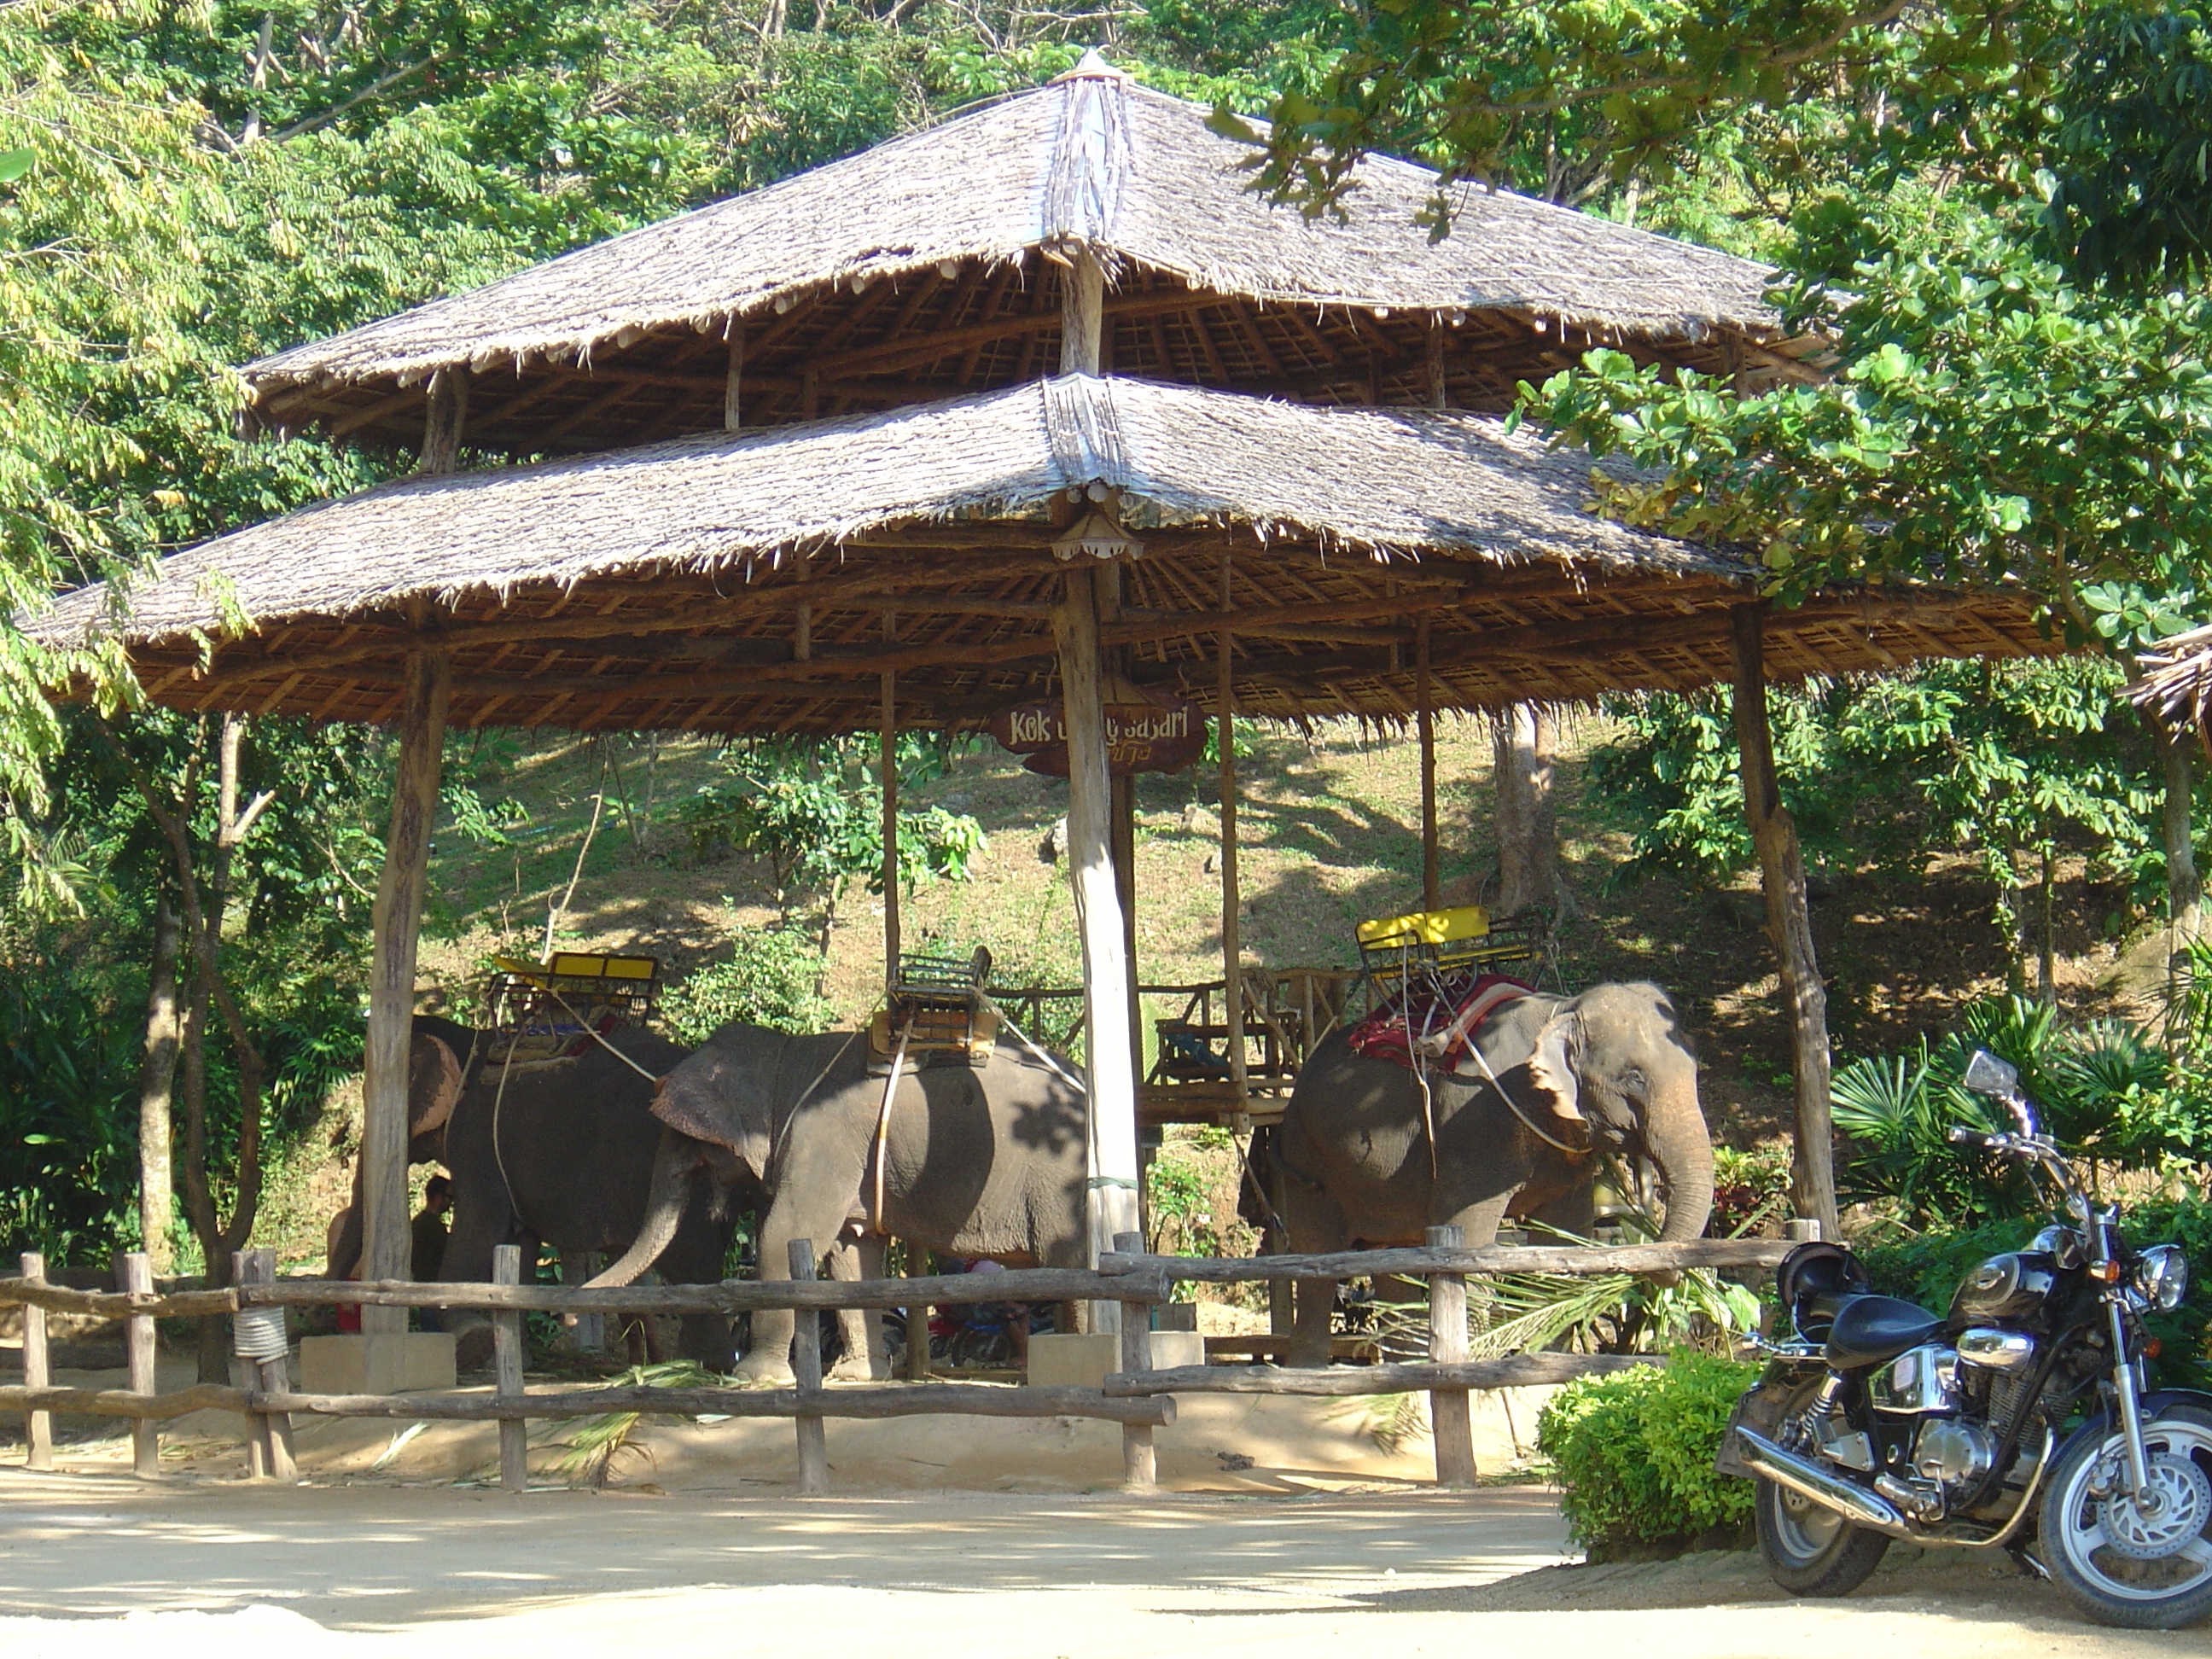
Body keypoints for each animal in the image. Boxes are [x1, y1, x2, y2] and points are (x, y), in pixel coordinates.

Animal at [597, 1026, 1088, 1388]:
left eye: (684, 1139)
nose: (575, 1305)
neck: (784, 1055)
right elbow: (852, 1253)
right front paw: (858, 1376)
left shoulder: (822, 1140)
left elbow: (784, 1236)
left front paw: (754, 1378)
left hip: (1064, 1185)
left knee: (1074, 1266)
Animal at [1265, 981, 1708, 1371]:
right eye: (1634, 1077)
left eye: (1694, 1070)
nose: (1662, 1275)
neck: (1562, 1009)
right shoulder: (1475, 1124)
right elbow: (1469, 1238)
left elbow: (1562, 1240)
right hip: (1308, 1157)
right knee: (1317, 1264)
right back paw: (1309, 1372)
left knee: (1394, 1263)